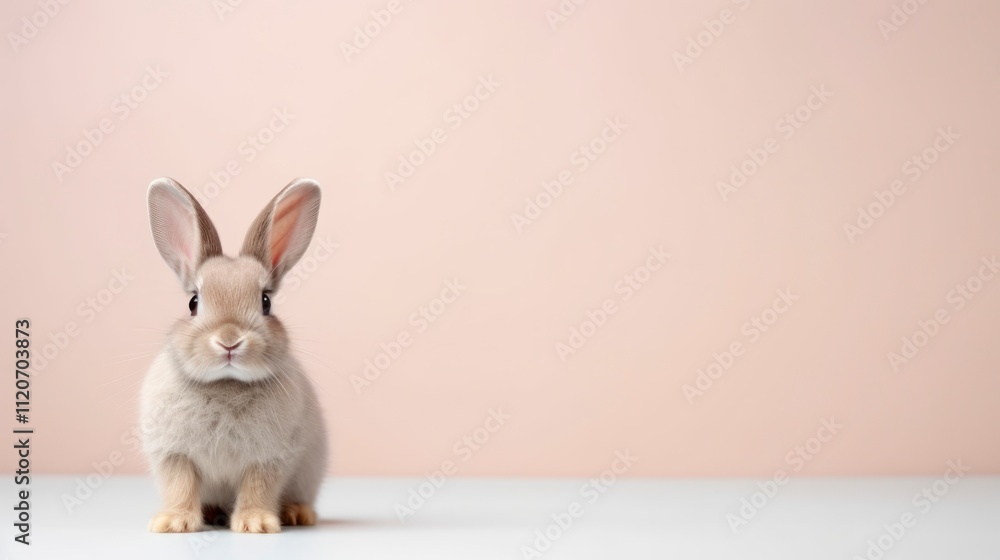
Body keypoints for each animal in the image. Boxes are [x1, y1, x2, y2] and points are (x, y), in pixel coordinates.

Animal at [139, 177, 328, 533]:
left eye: (266, 302)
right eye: (193, 303)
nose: (229, 341)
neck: (226, 383)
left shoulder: (269, 459)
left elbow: (257, 489)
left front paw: (256, 524)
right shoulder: (174, 455)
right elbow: (180, 486)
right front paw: (174, 523)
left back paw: (297, 513)